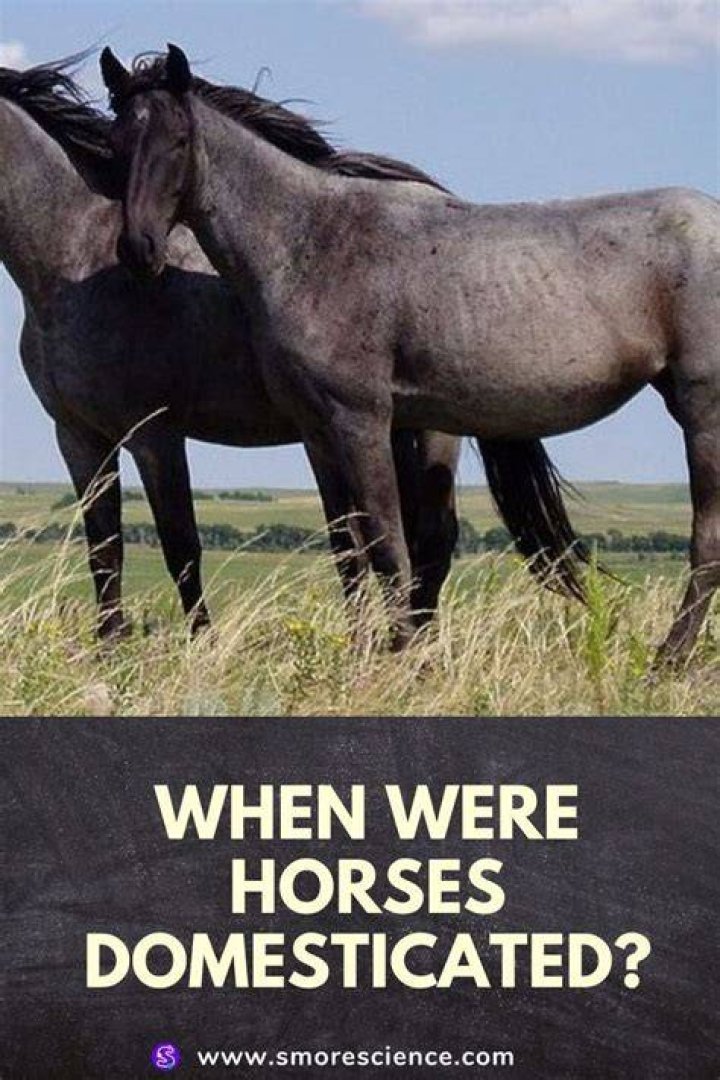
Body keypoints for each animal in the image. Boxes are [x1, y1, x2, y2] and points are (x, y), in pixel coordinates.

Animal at [0, 55, 463, 641]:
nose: (138, 252)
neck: (73, 262)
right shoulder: (79, 438)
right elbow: (104, 552)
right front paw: (108, 647)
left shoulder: (155, 435)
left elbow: (181, 548)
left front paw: (199, 645)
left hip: (431, 432)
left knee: (431, 544)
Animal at [100, 44, 720, 666]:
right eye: (116, 141)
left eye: (179, 141)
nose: (137, 249)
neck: (310, 243)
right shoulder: (316, 430)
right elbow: (347, 548)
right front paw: (362, 652)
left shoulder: (364, 420)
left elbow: (386, 544)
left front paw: (398, 655)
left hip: (703, 411)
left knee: (706, 541)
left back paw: (668, 661)